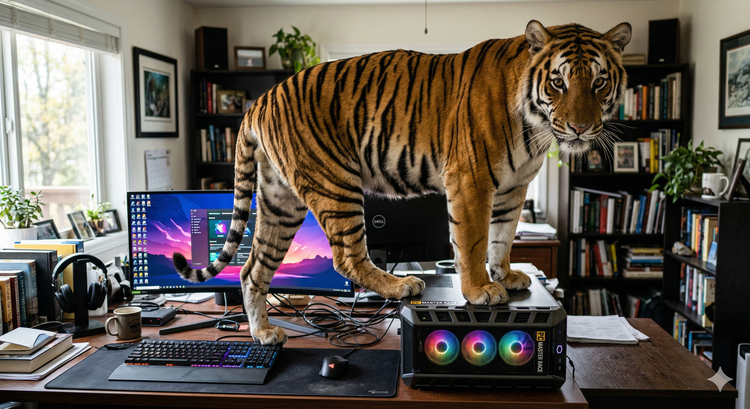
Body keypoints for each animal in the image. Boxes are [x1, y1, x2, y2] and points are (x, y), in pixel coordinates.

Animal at [174, 20, 631, 345]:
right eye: (558, 82)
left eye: (599, 82)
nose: (580, 128)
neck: (535, 127)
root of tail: (259, 101)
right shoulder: (471, 180)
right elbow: (473, 241)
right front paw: (479, 290)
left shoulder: (512, 188)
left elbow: (502, 237)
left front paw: (504, 276)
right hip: (336, 183)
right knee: (348, 257)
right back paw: (401, 285)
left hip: (279, 200)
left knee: (252, 269)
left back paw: (264, 333)